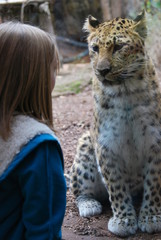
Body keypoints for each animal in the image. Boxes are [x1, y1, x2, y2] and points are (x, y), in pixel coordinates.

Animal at [68, 10, 161, 237]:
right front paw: (123, 221)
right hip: (85, 146)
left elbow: (153, 182)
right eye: (95, 48)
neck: (125, 92)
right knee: (77, 191)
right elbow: (116, 186)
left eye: (118, 47)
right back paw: (89, 205)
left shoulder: (155, 141)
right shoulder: (106, 145)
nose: (102, 70)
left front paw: (151, 216)